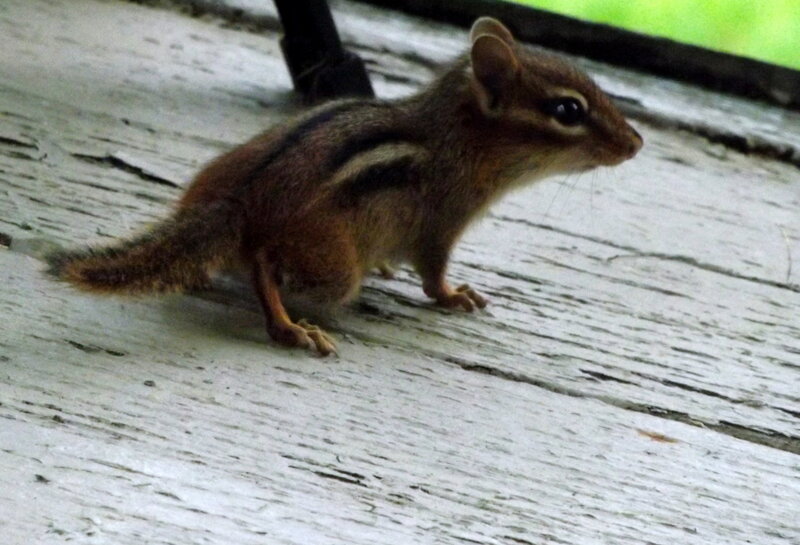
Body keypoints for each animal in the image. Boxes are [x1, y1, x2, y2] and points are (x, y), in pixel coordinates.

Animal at [48, 17, 642, 356]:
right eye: (568, 110)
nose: (636, 143)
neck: (456, 136)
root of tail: (238, 203)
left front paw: (391, 268)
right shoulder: (443, 220)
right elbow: (433, 275)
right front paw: (455, 296)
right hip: (331, 267)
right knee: (266, 265)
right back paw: (291, 329)